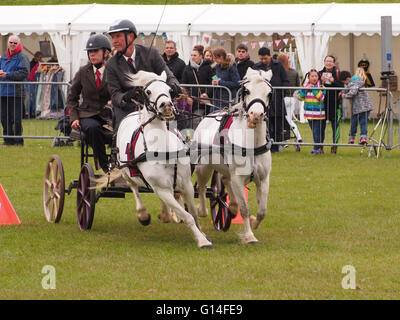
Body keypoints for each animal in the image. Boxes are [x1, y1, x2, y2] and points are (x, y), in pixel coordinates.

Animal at [96, 70, 212, 249]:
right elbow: (186, 216)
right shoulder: (161, 189)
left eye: (170, 90)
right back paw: (143, 214)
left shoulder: (186, 184)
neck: (163, 149)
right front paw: (201, 240)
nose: (166, 106)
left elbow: (192, 212)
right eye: (148, 92)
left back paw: (165, 214)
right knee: (134, 189)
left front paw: (202, 234)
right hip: (127, 173)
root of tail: (133, 112)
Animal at [193, 67, 272, 242]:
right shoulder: (238, 178)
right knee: (201, 188)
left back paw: (231, 207)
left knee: (224, 180)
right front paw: (249, 236)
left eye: (269, 93)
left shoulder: (263, 179)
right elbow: (245, 208)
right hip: (203, 167)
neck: (252, 145)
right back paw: (200, 210)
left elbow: (263, 210)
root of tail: (207, 117)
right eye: (247, 90)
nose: (256, 115)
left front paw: (254, 222)